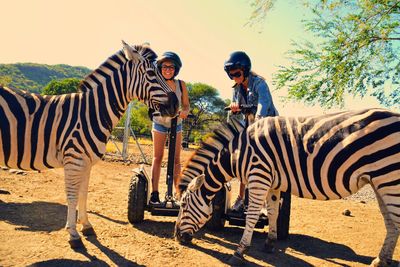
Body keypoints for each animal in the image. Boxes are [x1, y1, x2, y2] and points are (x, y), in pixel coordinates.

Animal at [0, 41, 178, 249]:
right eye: (151, 73)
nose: (176, 105)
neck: (92, 112)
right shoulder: (74, 160)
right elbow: (72, 196)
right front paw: (73, 234)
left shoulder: (86, 162)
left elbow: (84, 194)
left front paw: (86, 226)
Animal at [175, 109, 400, 267]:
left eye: (184, 205)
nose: (177, 238)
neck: (238, 153)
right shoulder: (272, 182)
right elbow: (273, 212)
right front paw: (269, 243)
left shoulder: (258, 176)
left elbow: (252, 216)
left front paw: (239, 252)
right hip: (380, 182)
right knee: (391, 222)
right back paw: (381, 260)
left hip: (389, 178)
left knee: (395, 220)